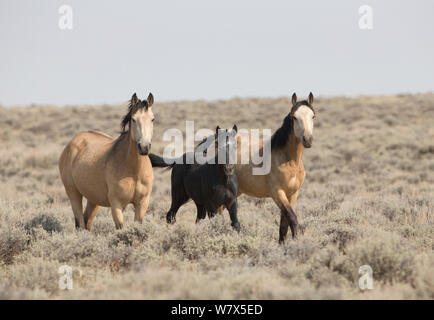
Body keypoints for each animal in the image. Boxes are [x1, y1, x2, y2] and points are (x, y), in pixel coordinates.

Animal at [59, 92, 156, 230]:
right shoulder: (116, 204)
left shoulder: (142, 203)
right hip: (73, 194)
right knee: (80, 223)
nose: (144, 147)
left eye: (152, 119)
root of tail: (72, 142)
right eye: (133, 119)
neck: (134, 171)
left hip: (93, 199)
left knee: (86, 221)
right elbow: (120, 227)